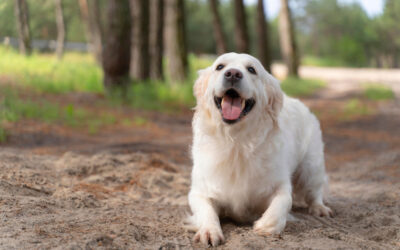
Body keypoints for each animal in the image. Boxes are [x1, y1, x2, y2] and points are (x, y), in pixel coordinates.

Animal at [189, 52, 332, 246]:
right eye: (220, 66)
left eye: (251, 69)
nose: (233, 74)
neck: (237, 142)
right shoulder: (200, 191)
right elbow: (206, 211)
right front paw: (209, 231)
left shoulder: (279, 184)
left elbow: (283, 201)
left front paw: (266, 225)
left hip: (311, 166)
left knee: (315, 190)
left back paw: (320, 208)